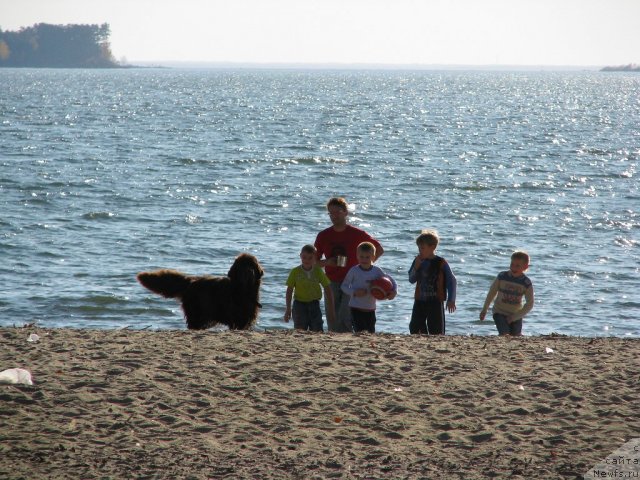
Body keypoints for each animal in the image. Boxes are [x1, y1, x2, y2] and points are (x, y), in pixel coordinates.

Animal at [136, 255, 264, 330]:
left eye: (252, 265)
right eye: (242, 266)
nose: (249, 272)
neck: (243, 291)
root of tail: (190, 281)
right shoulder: (237, 319)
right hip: (196, 315)